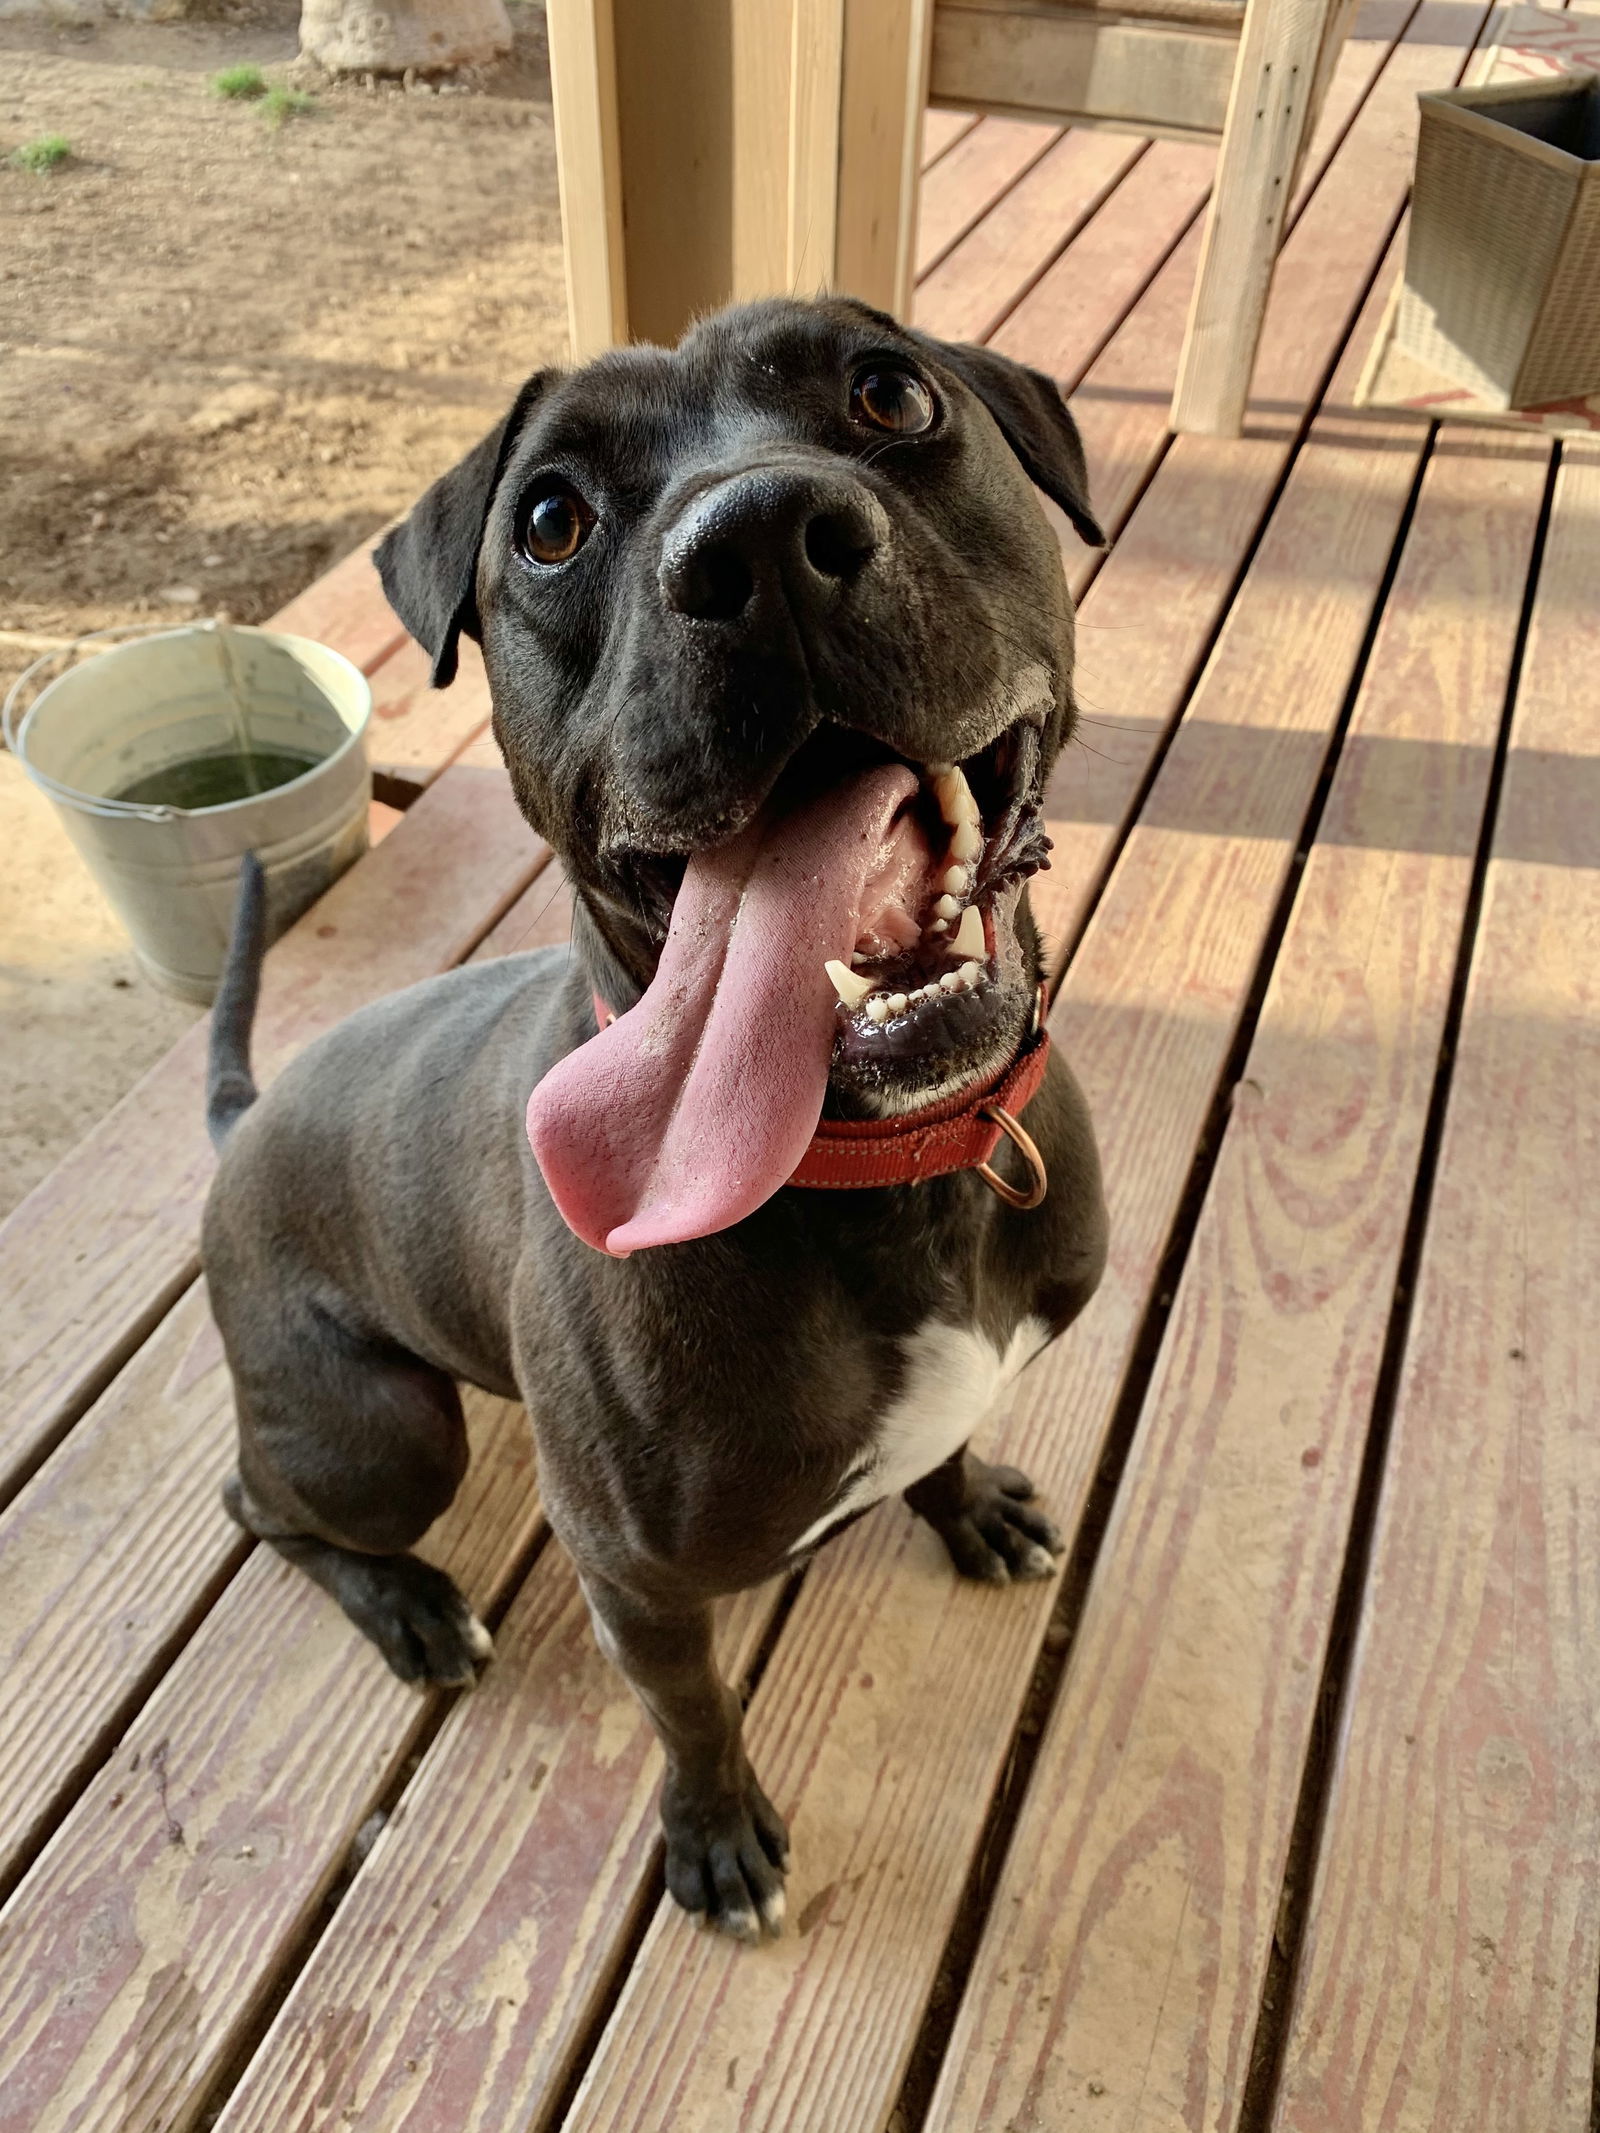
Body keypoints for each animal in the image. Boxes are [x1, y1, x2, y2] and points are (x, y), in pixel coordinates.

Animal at [200, 300, 1109, 1953]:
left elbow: (944, 1452)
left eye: (892, 394)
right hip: (382, 1433)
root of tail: (246, 1124)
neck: (893, 1173)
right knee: (261, 1497)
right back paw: (411, 1608)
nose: (755, 541)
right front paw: (718, 1836)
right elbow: (691, 1714)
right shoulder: (636, 1574)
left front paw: (969, 1505)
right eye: (550, 522)